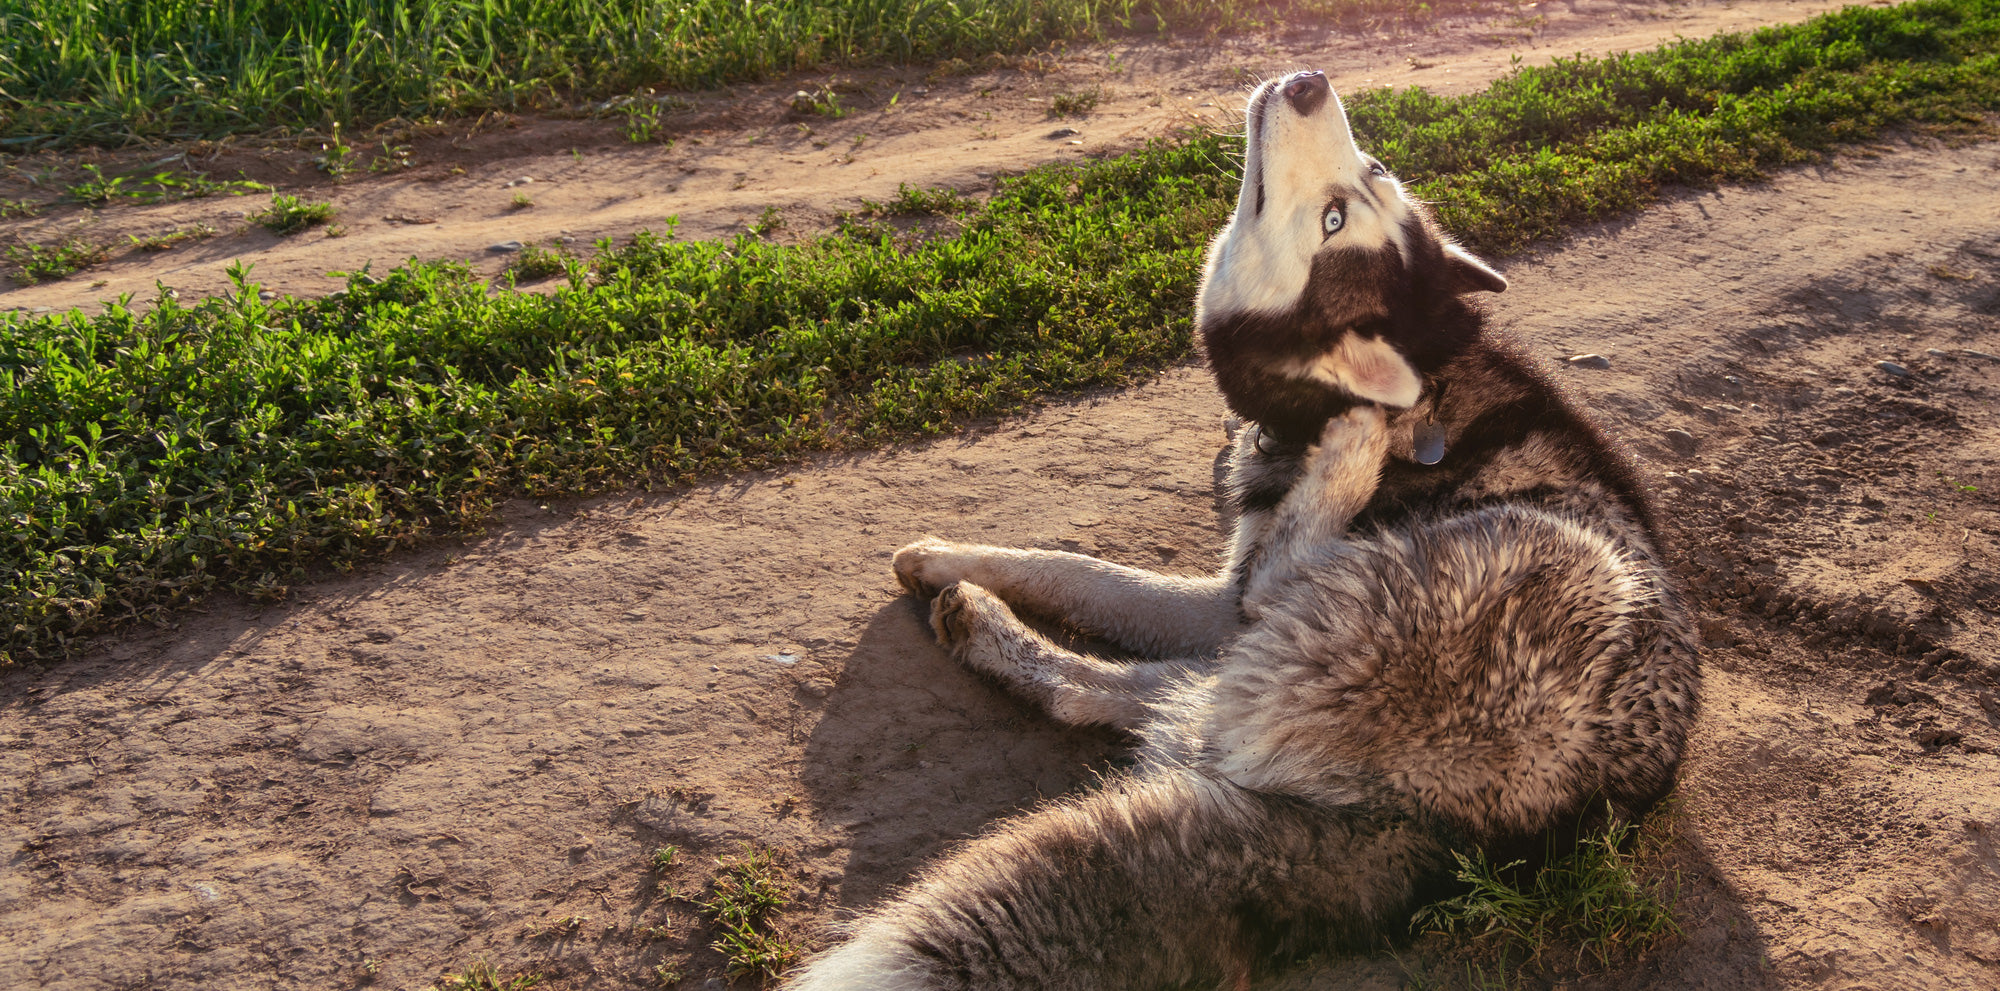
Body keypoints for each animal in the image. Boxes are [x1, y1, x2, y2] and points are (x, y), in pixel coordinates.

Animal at [788, 71, 1696, 991]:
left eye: (1333, 219)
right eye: (1370, 173)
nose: (1310, 83)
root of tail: (1454, 839)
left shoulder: (1235, 598)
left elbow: (1095, 572)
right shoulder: (1219, 601)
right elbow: (1081, 570)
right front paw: (944, 559)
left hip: (1523, 577)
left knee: (1168, 679)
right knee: (1146, 698)